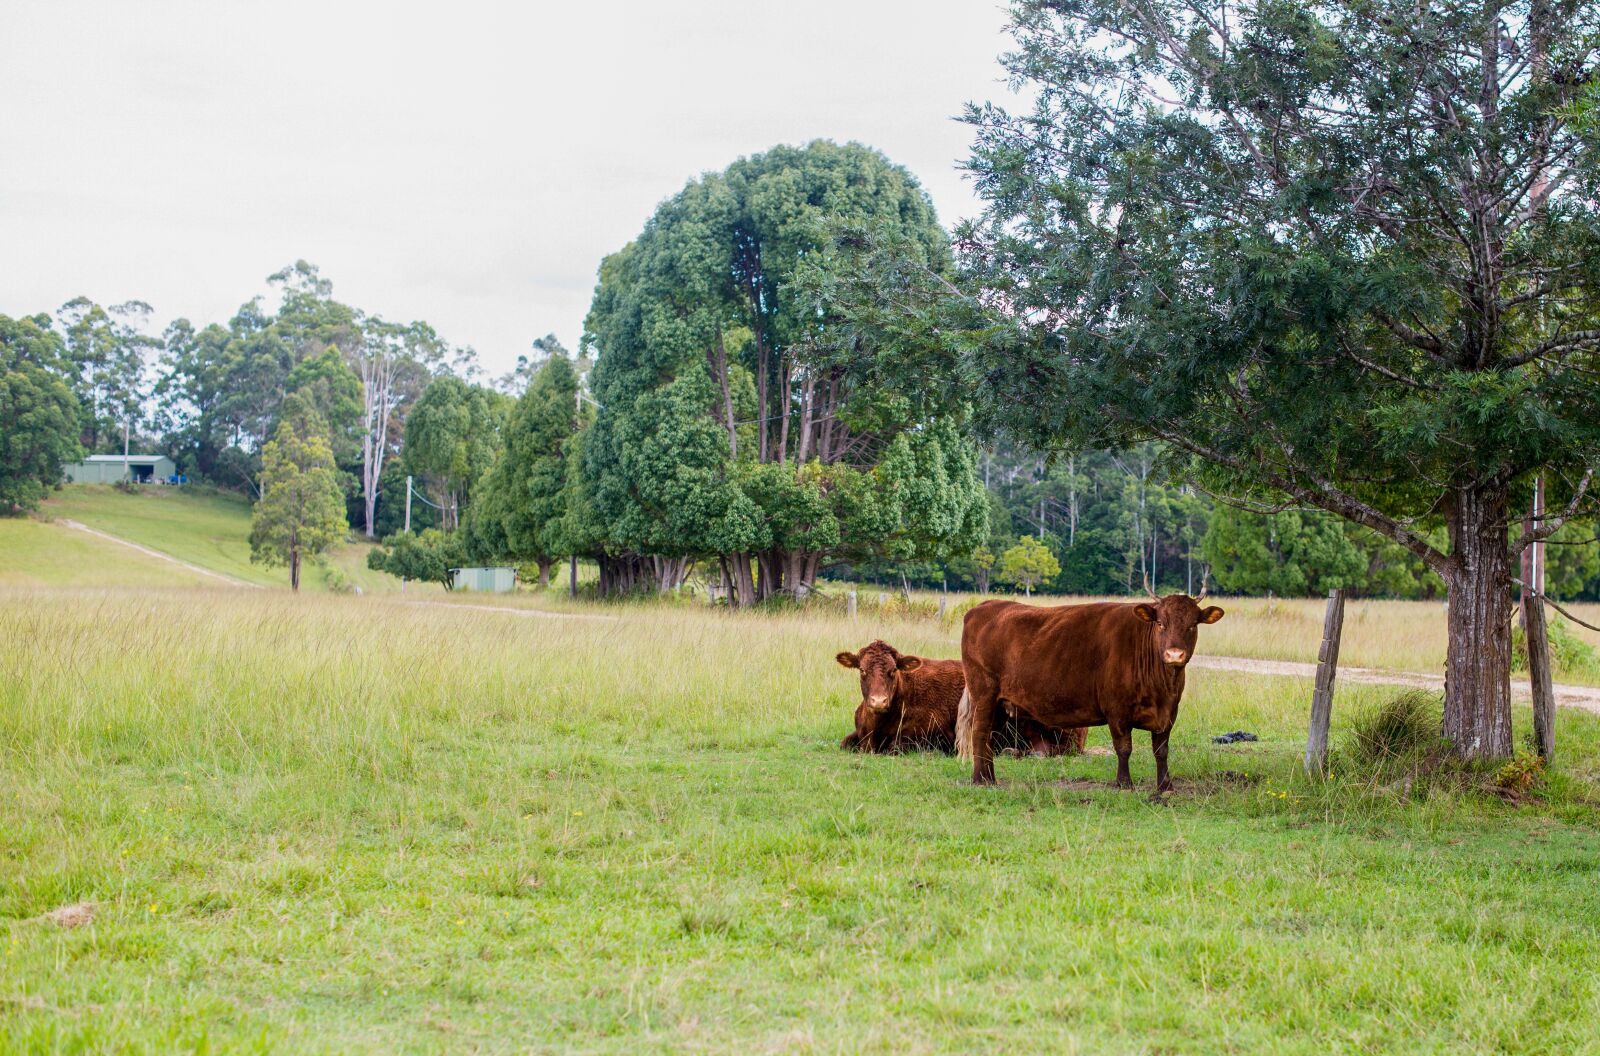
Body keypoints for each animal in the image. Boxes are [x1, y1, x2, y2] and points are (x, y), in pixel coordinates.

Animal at [837, 639, 1087, 756]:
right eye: (862, 670)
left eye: (892, 670)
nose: (878, 701)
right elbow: (845, 743)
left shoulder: (933, 735)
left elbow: (895, 747)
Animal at [956, 589, 1224, 789]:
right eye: (1160, 623)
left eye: (1192, 625)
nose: (1174, 654)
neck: (1163, 688)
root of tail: (985, 606)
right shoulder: (1117, 711)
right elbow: (1124, 748)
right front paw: (1124, 783)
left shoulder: (1168, 714)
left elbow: (1161, 750)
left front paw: (1165, 786)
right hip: (984, 693)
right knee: (979, 733)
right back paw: (980, 779)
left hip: (1000, 703)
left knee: (988, 736)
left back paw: (990, 777)